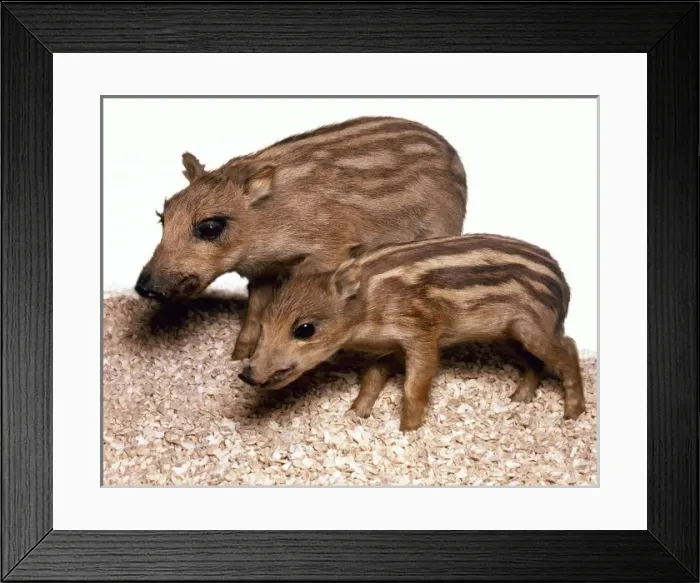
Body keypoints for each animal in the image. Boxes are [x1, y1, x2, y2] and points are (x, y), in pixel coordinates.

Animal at [134, 116, 468, 361]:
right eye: (162, 218)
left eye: (210, 228)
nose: (144, 288)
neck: (267, 222)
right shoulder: (261, 270)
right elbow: (255, 309)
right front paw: (239, 356)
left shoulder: (329, 250)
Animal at [238, 233, 586, 432]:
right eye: (264, 326)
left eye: (305, 329)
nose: (246, 374)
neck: (368, 306)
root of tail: (563, 284)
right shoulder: (391, 343)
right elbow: (373, 376)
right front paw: (355, 415)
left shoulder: (423, 334)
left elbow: (413, 387)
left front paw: (407, 432)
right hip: (509, 334)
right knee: (535, 362)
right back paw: (518, 399)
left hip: (531, 327)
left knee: (568, 347)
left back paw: (572, 414)